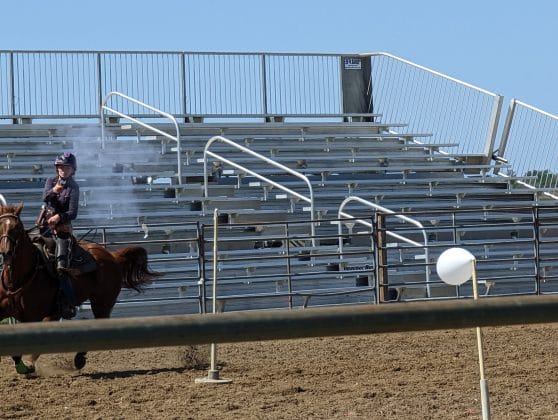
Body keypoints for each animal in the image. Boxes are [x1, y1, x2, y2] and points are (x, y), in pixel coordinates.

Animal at [0, 203, 162, 374]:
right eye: (0, 226)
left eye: (17, 228)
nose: (6, 252)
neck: (18, 279)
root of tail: (113, 256)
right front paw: (23, 365)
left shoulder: (34, 317)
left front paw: (27, 365)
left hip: (102, 303)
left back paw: (78, 359)